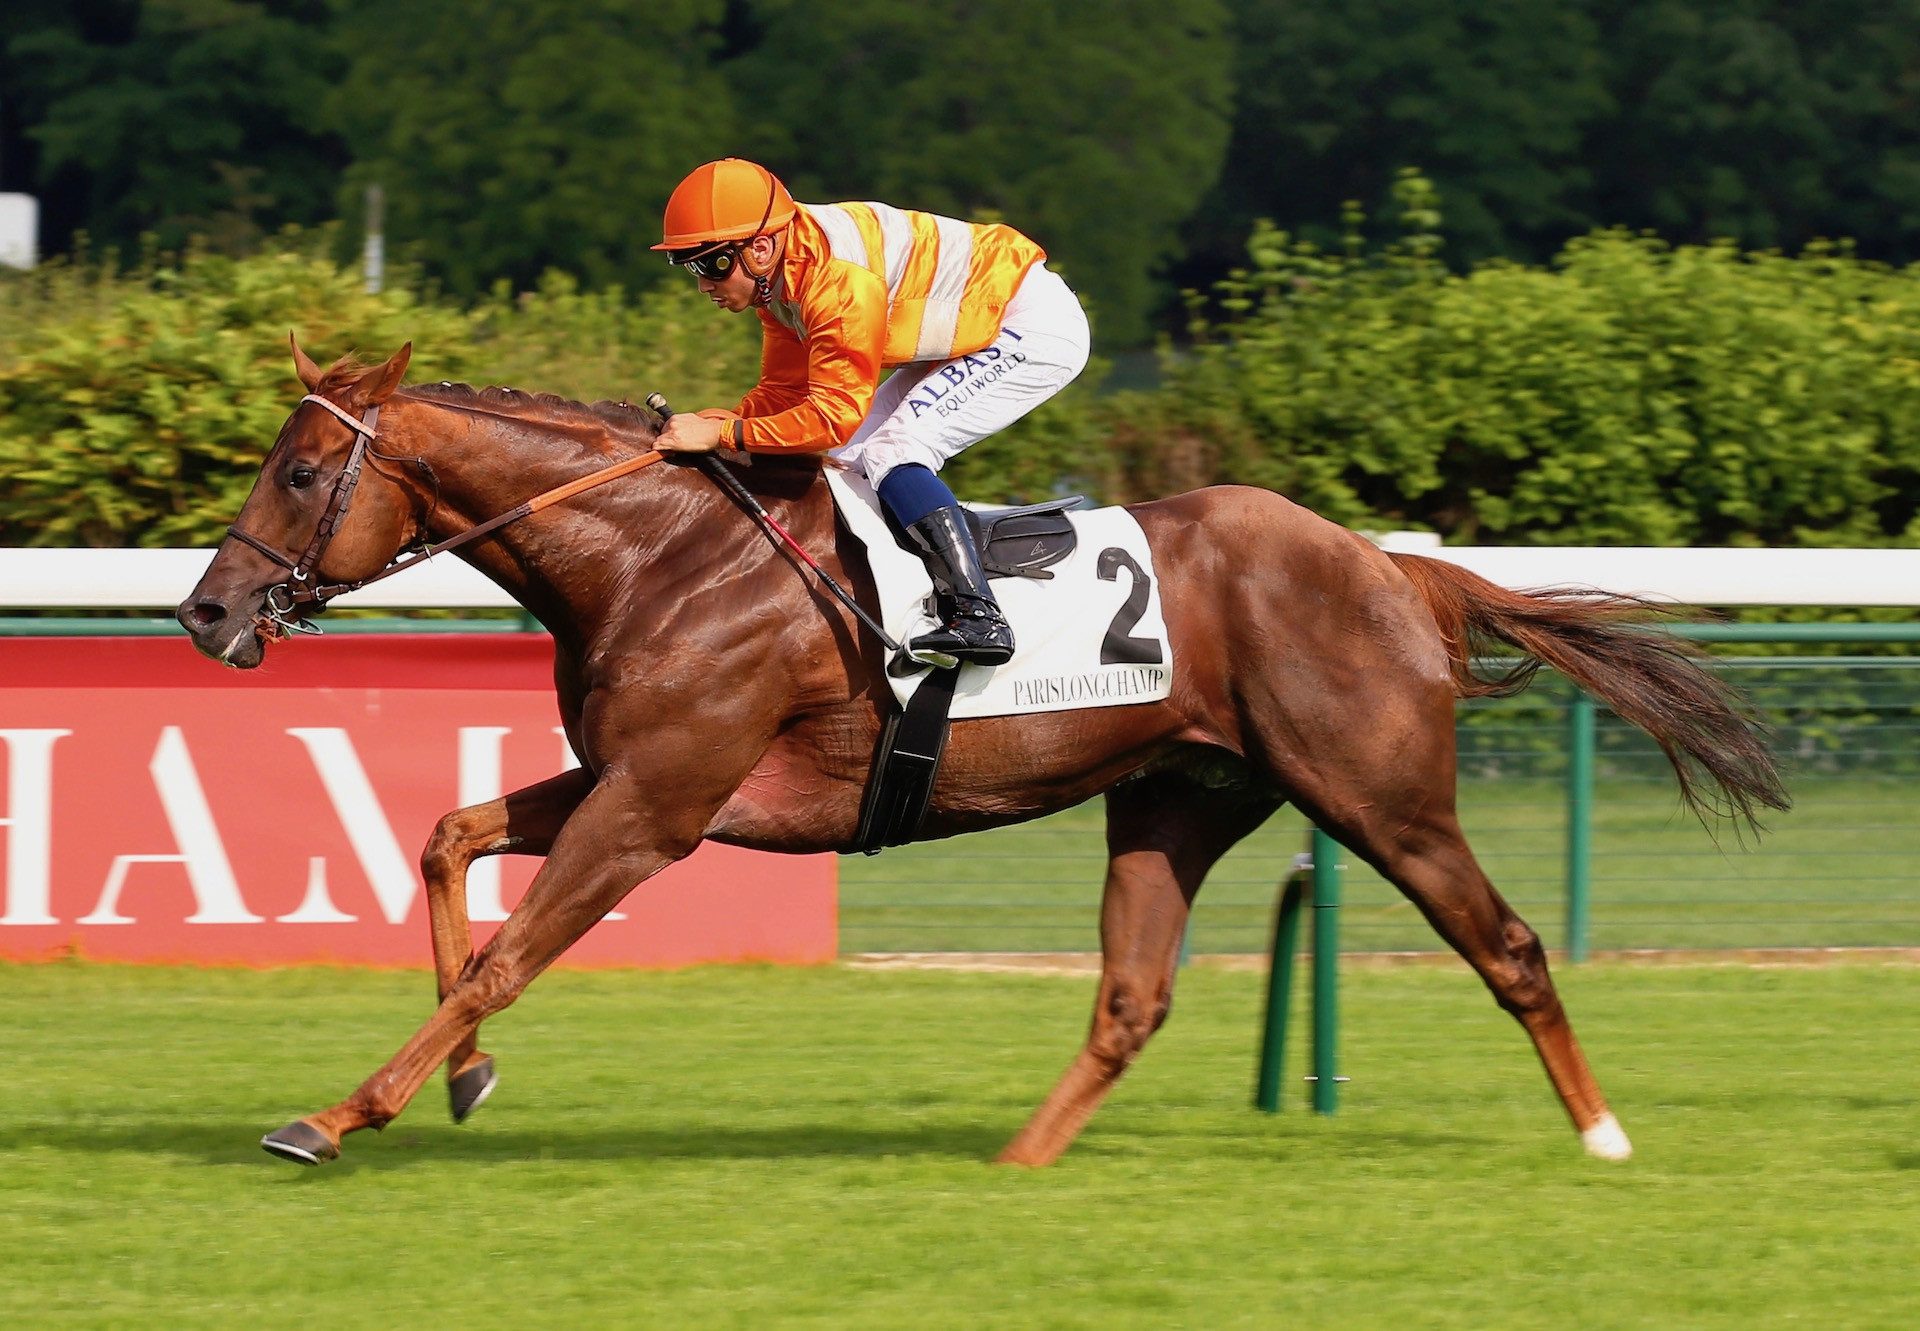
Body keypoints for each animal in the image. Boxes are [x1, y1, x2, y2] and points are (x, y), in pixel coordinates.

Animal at [180, 339, 1781, 1160]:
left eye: (303, 470)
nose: (206, 610)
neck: (655, 555)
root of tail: (1393, 565)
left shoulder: (660, 802)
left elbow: (512, 952)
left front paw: (341, 1110)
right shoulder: (634, 774)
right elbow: (447, 837)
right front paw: (463, 1079)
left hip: (1378, 792)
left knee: (1506, 942)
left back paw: (1603, 1134)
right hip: (1177, 799)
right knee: (1131, 997)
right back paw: (1014, 1167)